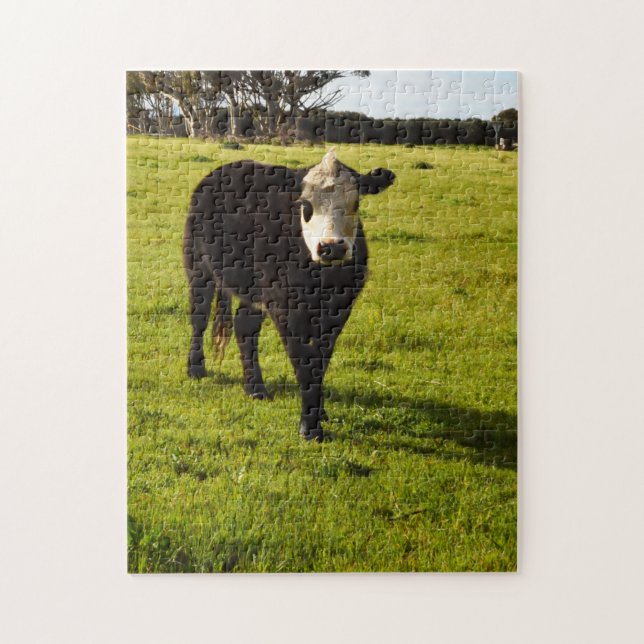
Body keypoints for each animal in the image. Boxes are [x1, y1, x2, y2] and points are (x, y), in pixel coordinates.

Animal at [184, 148, 395, 441]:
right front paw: (310, 427)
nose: (332, 247)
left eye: (355, 203)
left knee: (244, 327)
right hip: (199, 269)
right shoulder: (286, 309)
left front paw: (319, 412)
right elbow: (303, 360)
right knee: (199, 318)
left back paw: (255, 388)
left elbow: (321, 359)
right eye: (305, 205)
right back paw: (196, 368)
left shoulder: (339, 309)